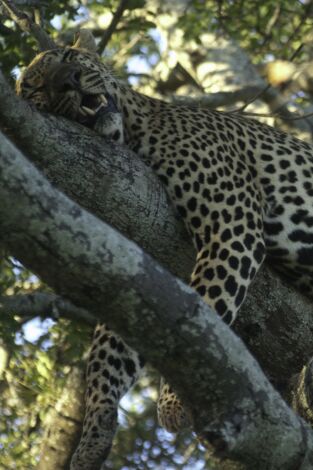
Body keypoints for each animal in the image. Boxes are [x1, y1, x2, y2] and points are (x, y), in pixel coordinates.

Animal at [16, 30, 313, 470]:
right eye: (36, 88)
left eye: (69, 56)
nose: (69, 80)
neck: (137, 130)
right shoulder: (142, 264)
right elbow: (115, 345)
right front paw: (93, 433)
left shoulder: (231, 225)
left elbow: (205, 323)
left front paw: (173, 402)